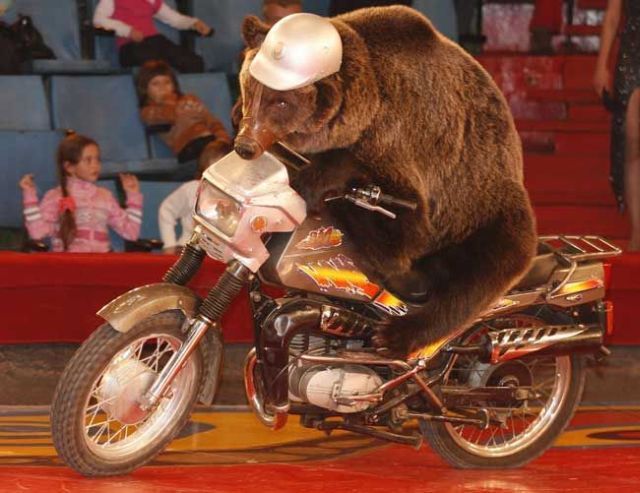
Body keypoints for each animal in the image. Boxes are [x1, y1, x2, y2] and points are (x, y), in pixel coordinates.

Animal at [235, 6, 537, 357]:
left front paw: (311, 183)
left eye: (280, 102)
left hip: (487, 207)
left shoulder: (408, 149)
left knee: (480, 274)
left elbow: (400, 232)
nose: (245, 145)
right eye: (249, 88)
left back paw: (398, 333)